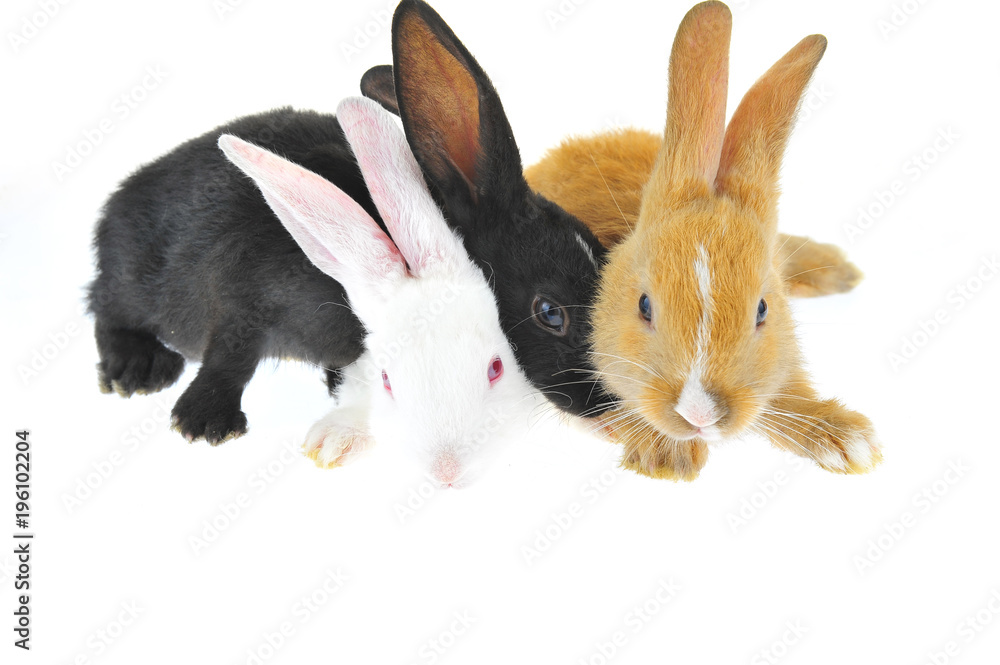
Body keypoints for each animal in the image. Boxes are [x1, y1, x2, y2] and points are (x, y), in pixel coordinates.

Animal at [583, 1, 881, 481]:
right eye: (644, 306)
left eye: (762, 310)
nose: (699, 415)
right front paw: (669, 458)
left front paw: (846, 441)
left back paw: (839, 270)